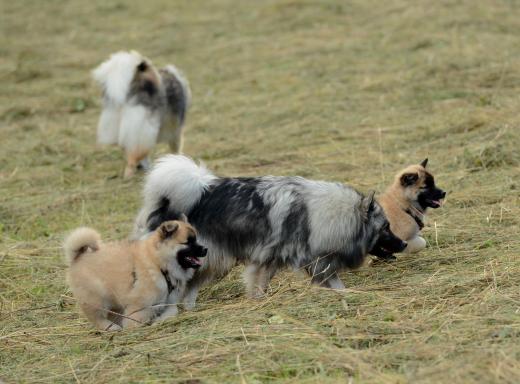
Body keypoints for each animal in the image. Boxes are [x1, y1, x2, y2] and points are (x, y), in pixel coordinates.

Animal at [63, 219, 205, 330]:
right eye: (188, 242)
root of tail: (78, 257)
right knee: (97, 317)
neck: (159, 264)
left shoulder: (169, 301)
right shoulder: (138, 306)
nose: (205, 249)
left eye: (196, 240)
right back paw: (111, 327)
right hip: (97, 297)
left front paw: (158, 320)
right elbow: (140, 316)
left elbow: (172, 310)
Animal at [92, 49, 190, 178]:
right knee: (134, 156)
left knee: (130, 151)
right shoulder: (175, 132)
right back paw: (128, 175)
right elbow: (176, 148)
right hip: (142, 128)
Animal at [133, 154, 406, 308]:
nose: (403, 244)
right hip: (210, 259)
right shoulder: (303, 261)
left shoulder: (270, 261)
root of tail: (164, 204)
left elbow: (260, 284)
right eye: (386, 227)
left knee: (188, 290)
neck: (323, 214)